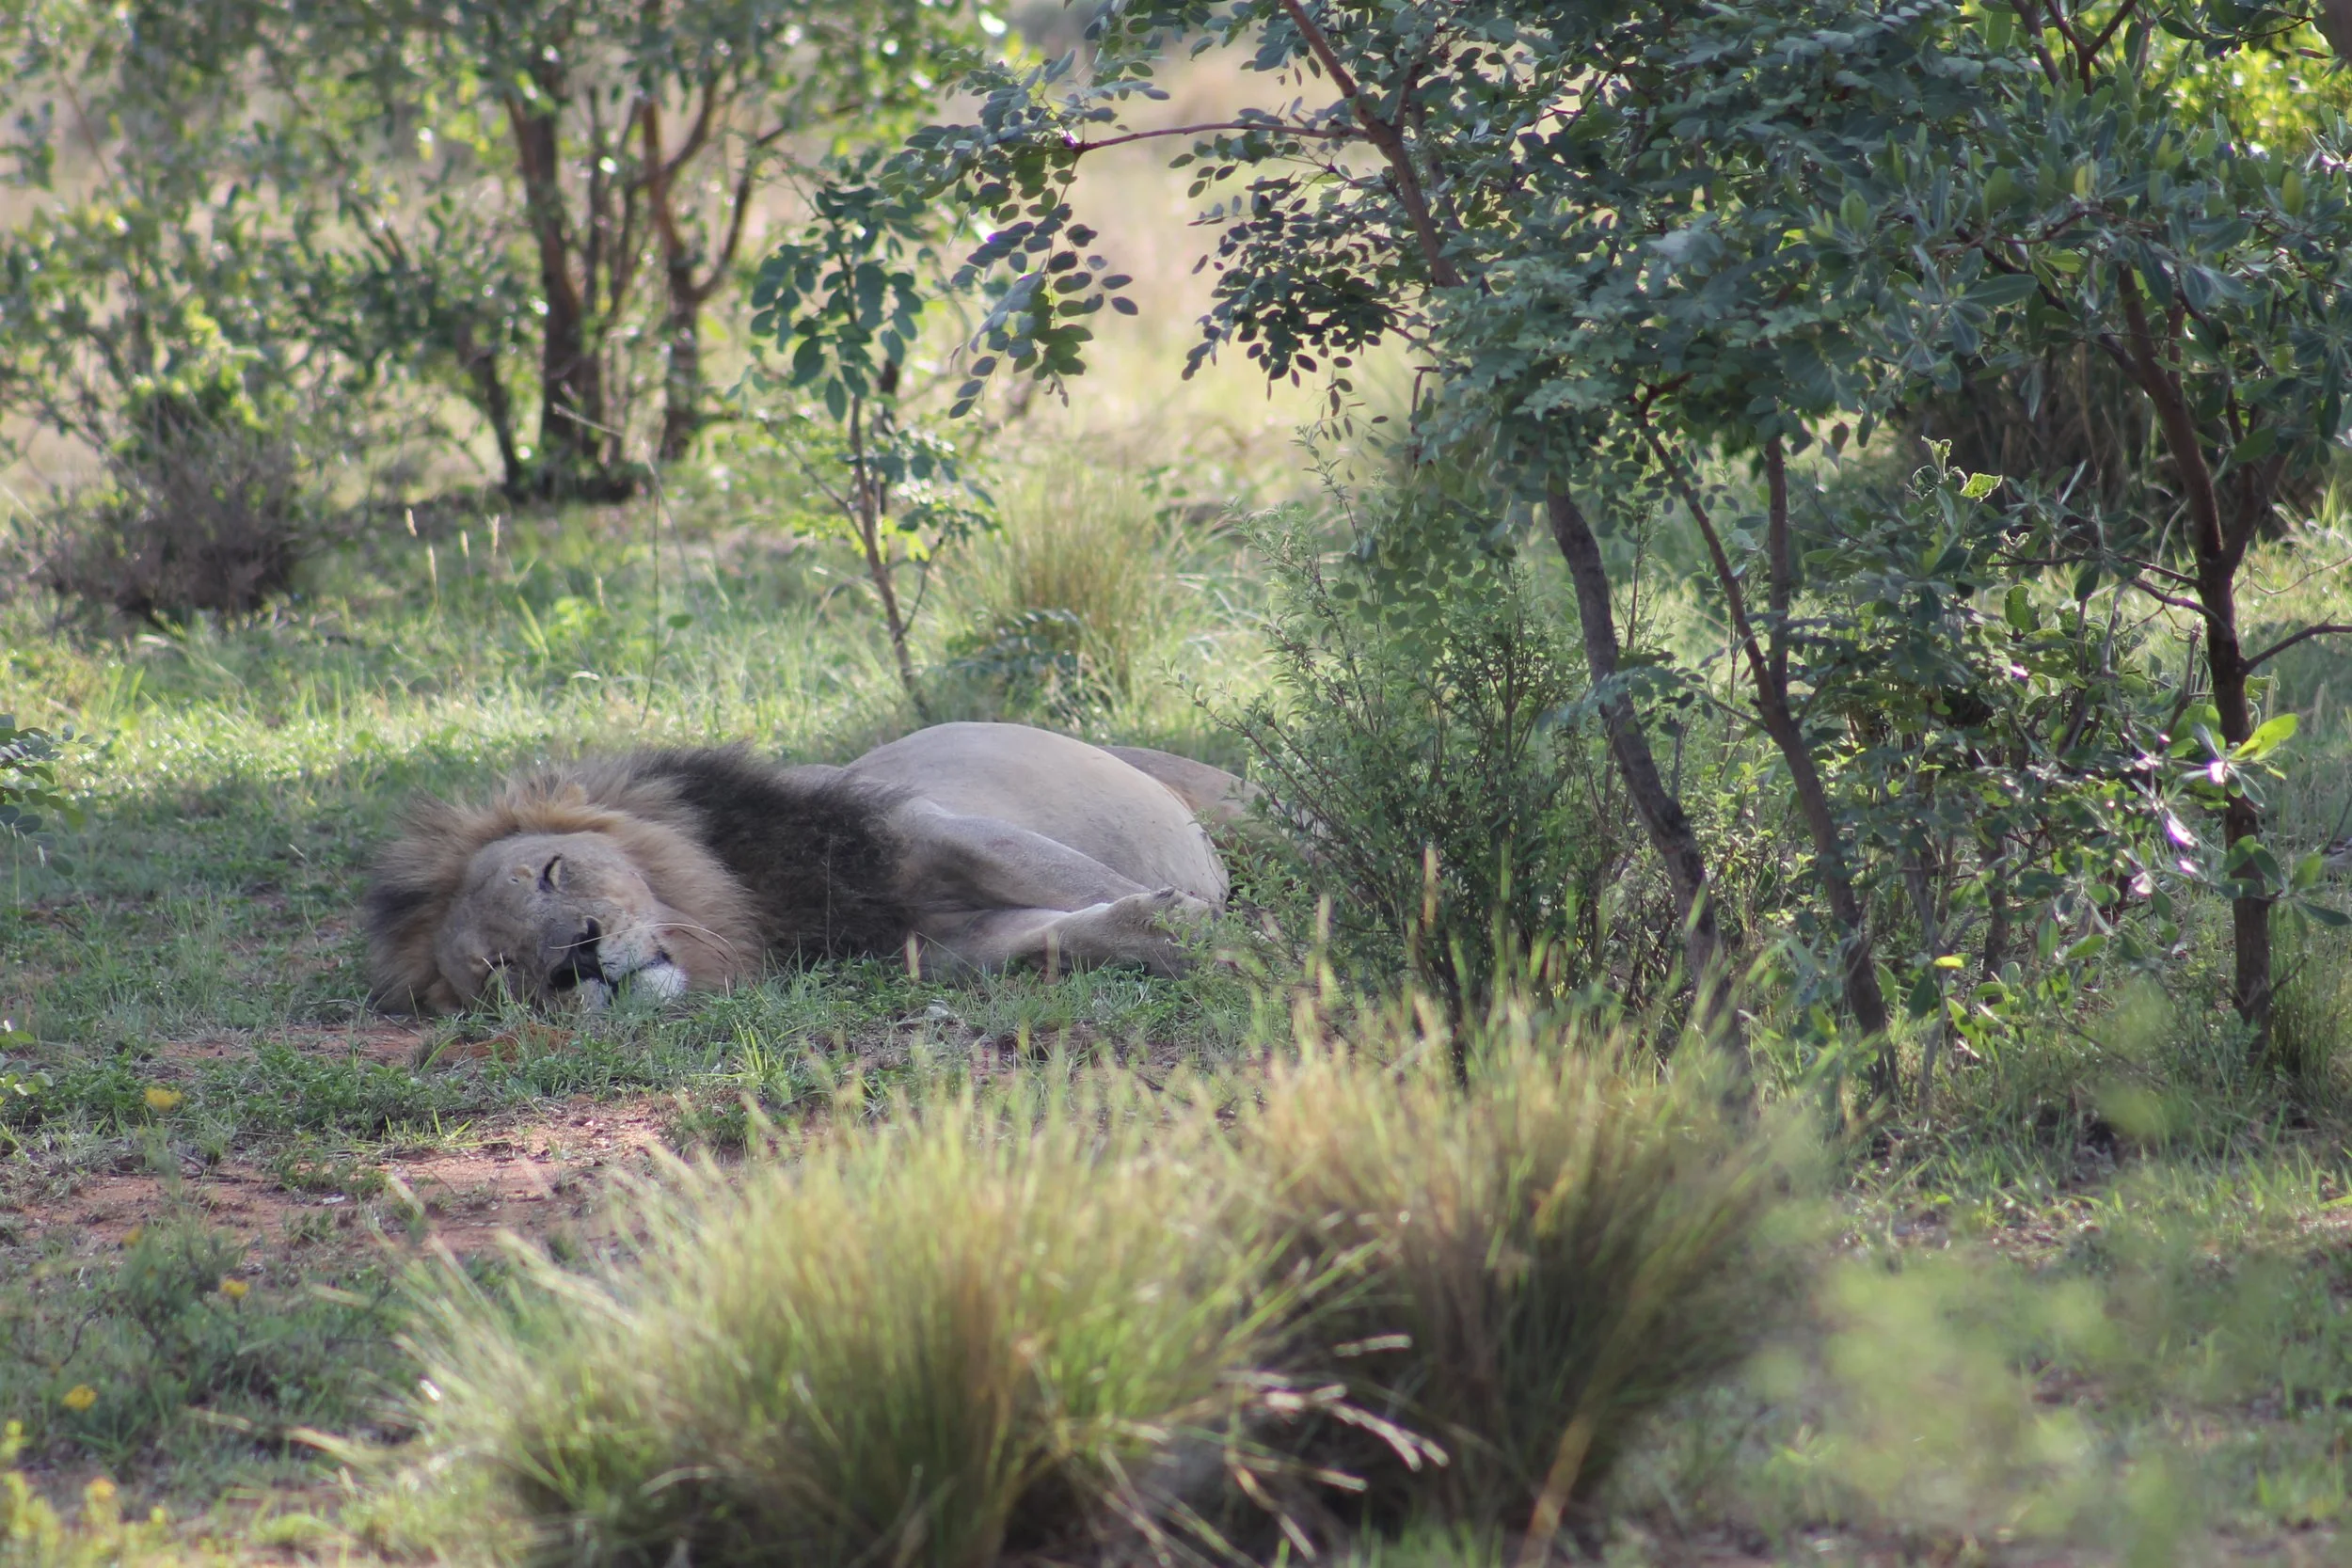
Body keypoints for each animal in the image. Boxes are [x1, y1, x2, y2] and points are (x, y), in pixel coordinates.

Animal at [363, 721, 1254, 1013]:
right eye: (502, 966)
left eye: (553, 871)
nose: (574, 958)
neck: (752, 903)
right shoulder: (941, 944)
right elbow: (1073, 930)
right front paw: (1174, 934)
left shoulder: (922, 828)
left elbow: (1076, 880)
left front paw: (1243, 946)